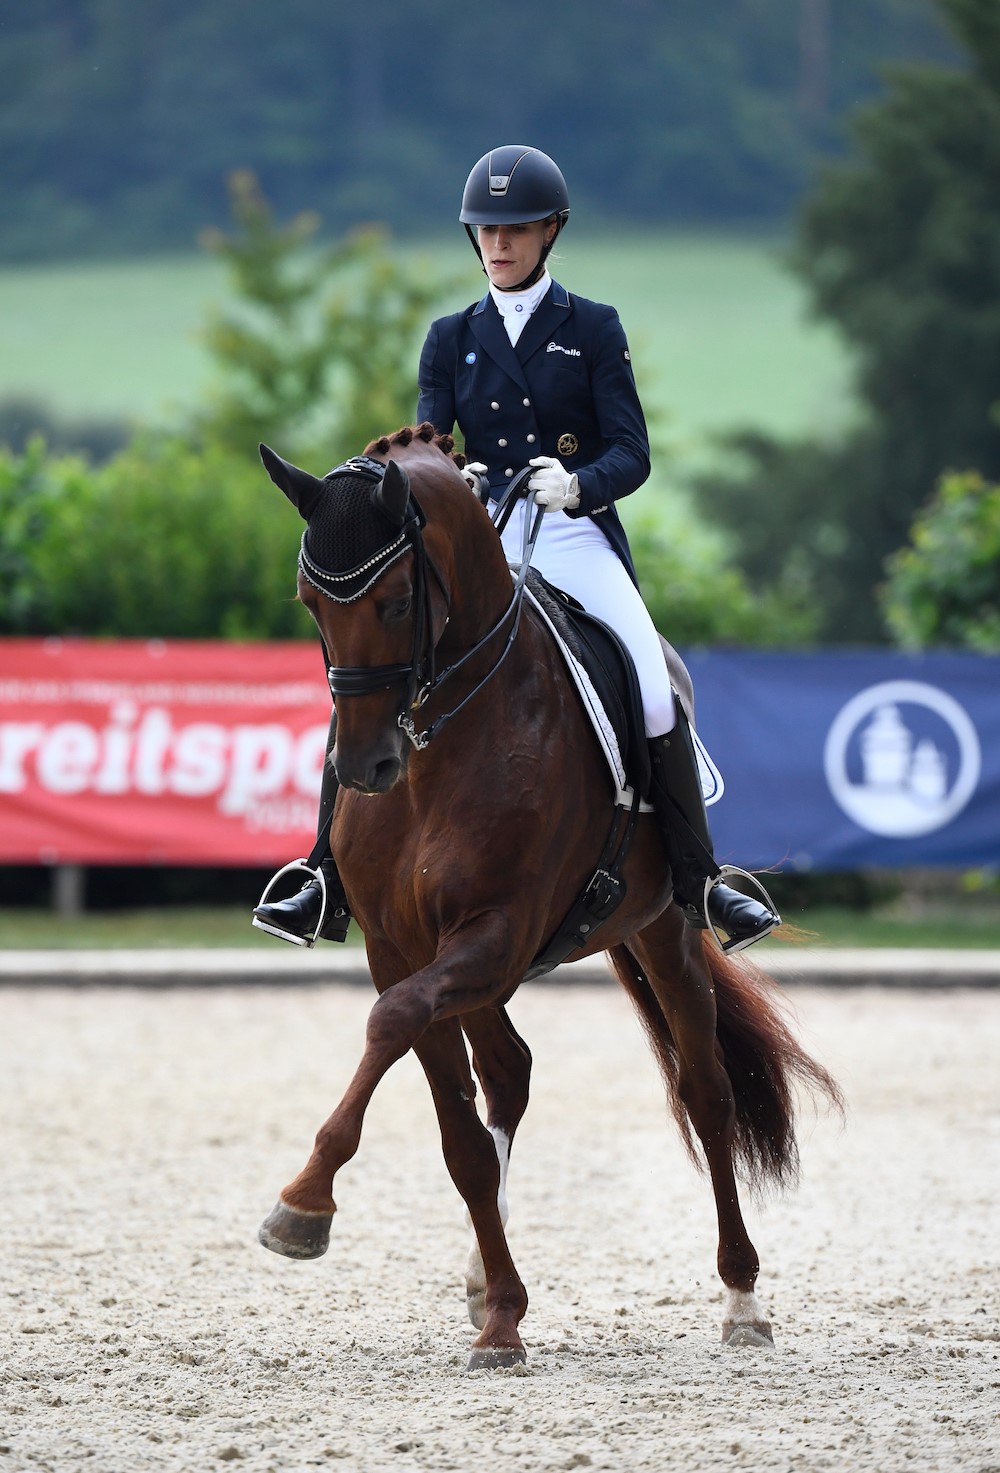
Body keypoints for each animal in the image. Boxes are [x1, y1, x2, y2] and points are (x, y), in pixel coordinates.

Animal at [254, 424, 842, 1366]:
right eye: (311, 602)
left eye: (395, 602)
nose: (365, 767)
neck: (447, 739)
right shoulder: (403, 946)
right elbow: (456, 1132)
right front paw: (500, 1310)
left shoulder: (493, 930)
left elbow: (391, 1026)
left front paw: (303, 1203)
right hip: (488, 966)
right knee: (510, 1071)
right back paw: (478, 1275)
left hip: (660, 930)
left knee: (706, 1094)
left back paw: (743, 1298)